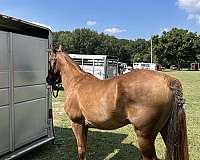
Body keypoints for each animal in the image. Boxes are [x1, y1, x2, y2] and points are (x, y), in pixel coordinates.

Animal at [46, 45, 188, 159]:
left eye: (49, 60)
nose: (48, 80)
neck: (77, 82)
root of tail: (167, 81)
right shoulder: (85, 126)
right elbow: (84, 148)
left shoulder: (77, 124)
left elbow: (81, 150)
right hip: (166, 131)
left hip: (144, 137)